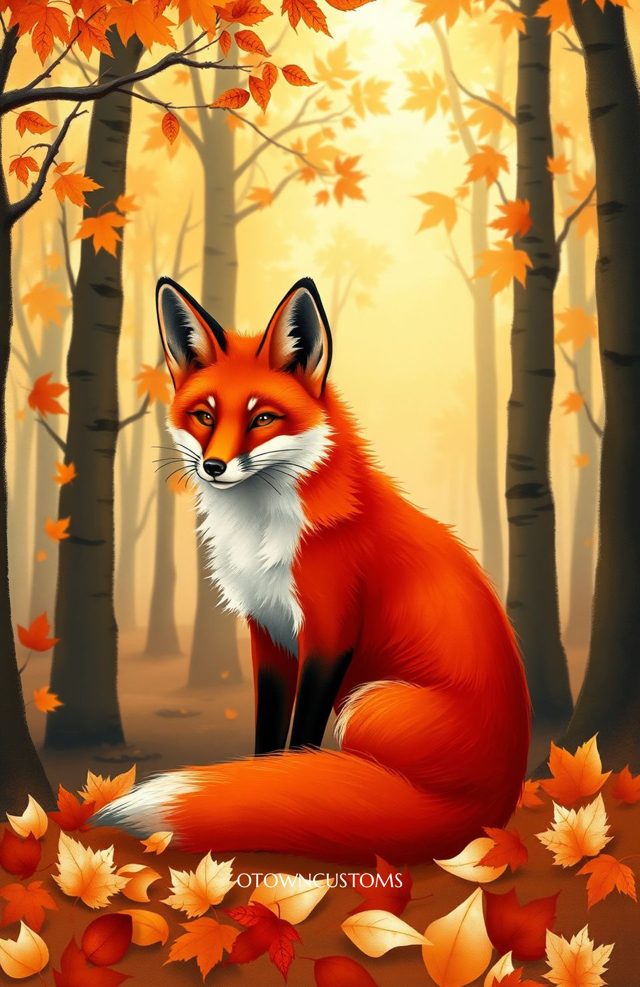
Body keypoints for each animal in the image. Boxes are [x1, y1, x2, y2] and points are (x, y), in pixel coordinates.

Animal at [94, 276, 530, 863]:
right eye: (205, 415)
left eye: (262, 418)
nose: (213, 466)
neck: (261, 534)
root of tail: (491, 809)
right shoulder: (268, 631)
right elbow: (268, 737)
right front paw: (260, 791)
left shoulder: (329, 633)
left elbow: (300, 741)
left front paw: (280, 791)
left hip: (365, 704)